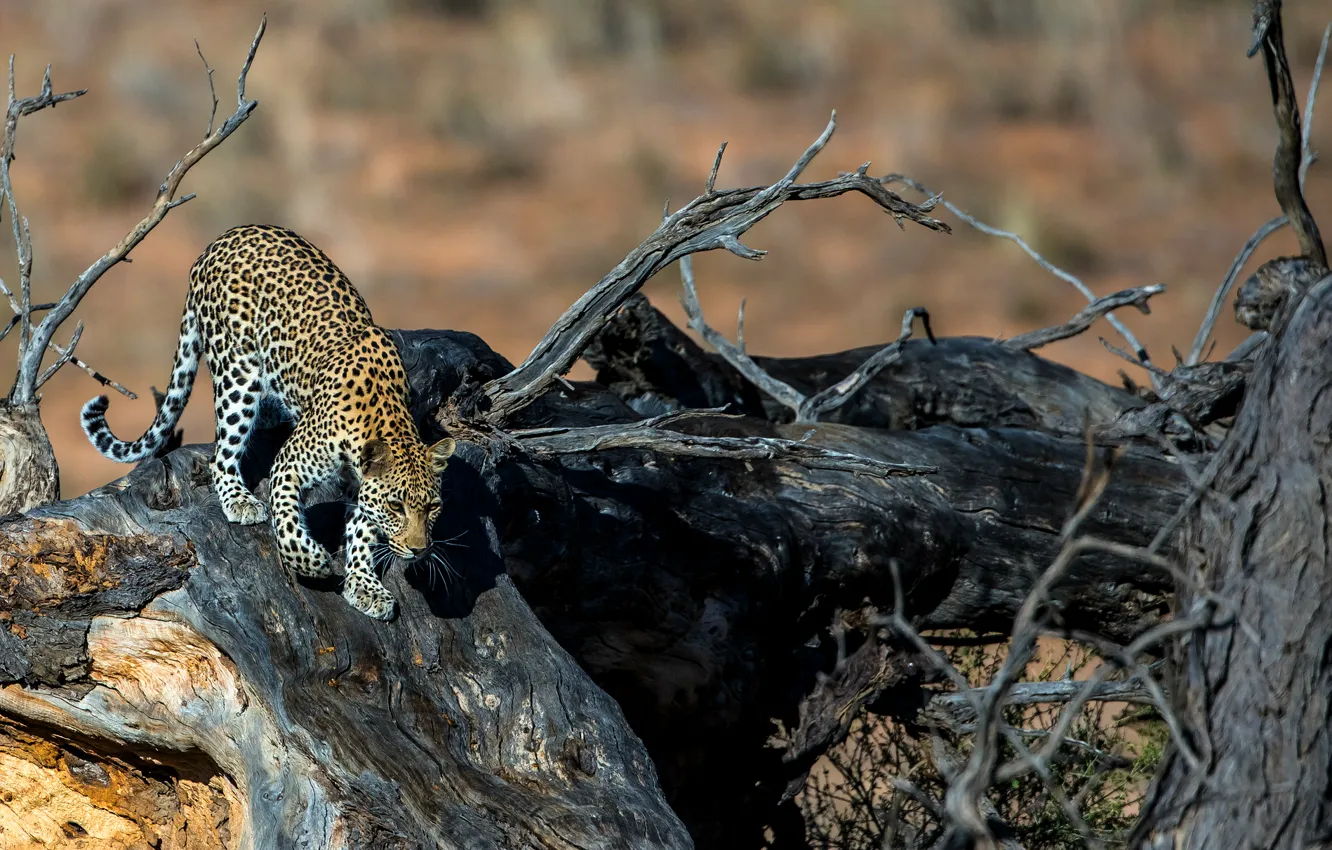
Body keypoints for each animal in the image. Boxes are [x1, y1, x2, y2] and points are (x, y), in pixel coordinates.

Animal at [84, 223, 458, 618]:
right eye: (396, 506)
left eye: (433, 507)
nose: (419, 550)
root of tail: (219, 241)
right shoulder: (290, 465)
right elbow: (289, 523)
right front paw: (314, 563)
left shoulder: (361, 486)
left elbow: (361, 532)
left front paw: (364, 586)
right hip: (236, 374)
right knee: (221, 454)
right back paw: (239, 500)